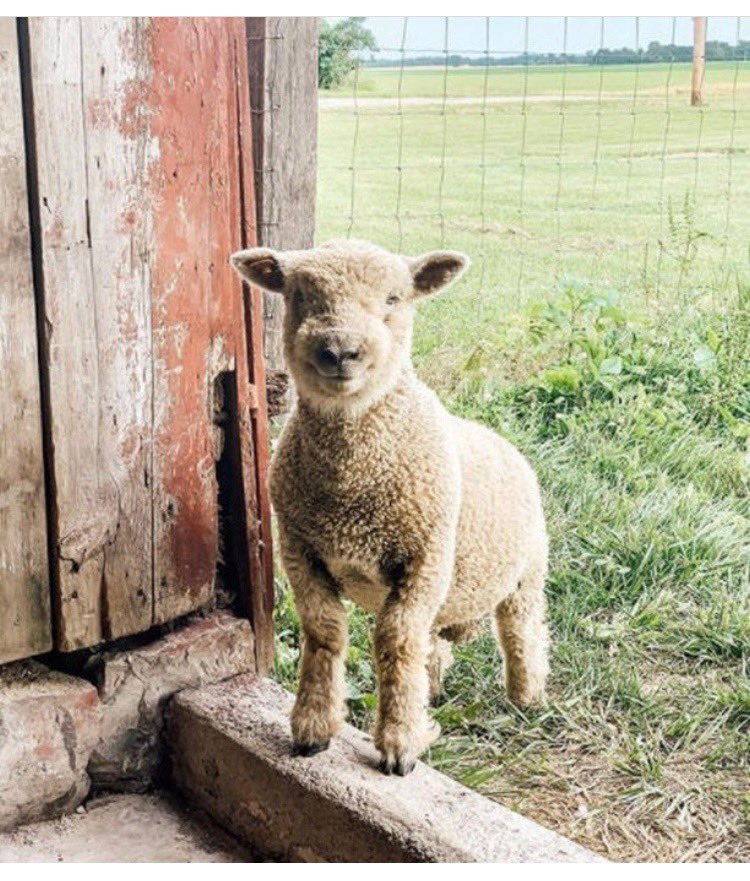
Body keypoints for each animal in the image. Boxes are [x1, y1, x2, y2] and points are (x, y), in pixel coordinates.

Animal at [231, 239, 549, 776]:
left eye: (394, 298)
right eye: (298, 295)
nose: (339, 351)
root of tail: (506, 444)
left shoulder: (425, 557)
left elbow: (395, 640)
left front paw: (400, 743)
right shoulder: (299, 550)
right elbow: (324, 632)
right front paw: (313, 727)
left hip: (526, 571)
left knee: (520, 631)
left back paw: (526, 697)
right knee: (435, 640)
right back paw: (434, 691)